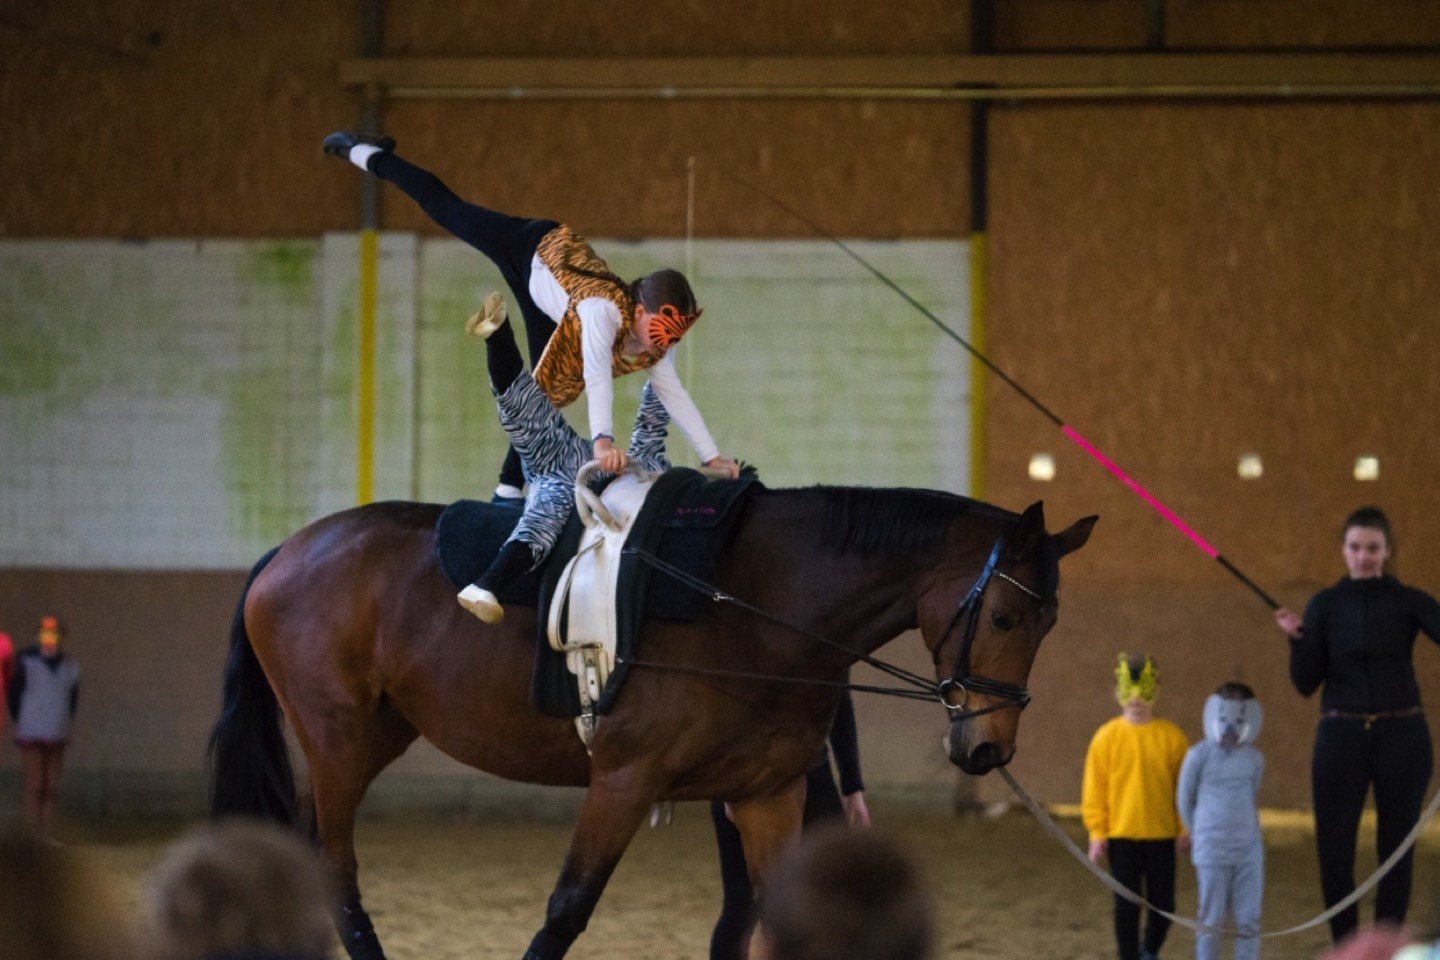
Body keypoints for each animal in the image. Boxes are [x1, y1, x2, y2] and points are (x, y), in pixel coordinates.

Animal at [210, 489, 1088, 960]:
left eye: (1050, 624)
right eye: (1004, 615)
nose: (989, 747)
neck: (755, 608)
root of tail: (286, 551)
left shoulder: (768, 792)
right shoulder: (624, 780)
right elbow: (567, 909)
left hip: (374, 737)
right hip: (337, 739)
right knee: (336, 868)